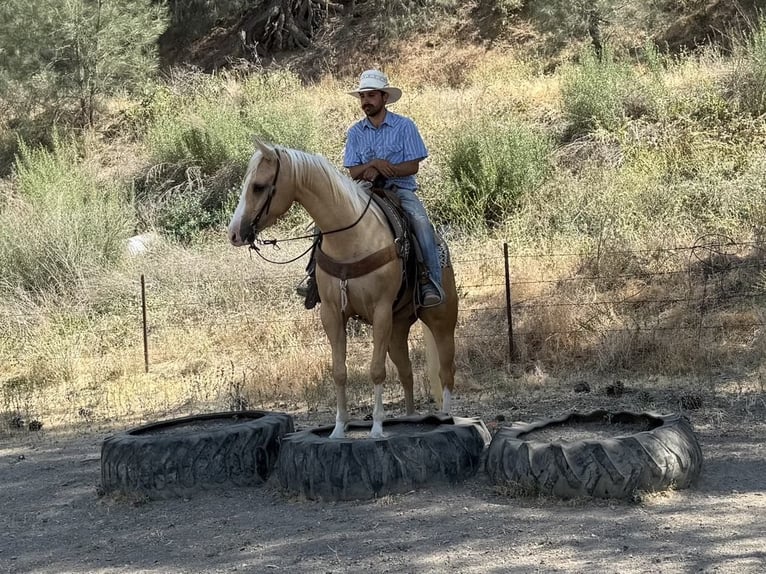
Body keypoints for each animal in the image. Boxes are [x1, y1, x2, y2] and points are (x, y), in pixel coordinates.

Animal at [228, 140, 458, 439]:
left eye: (258, 186)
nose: (234, 233)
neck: (352, 238)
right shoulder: (332, 313)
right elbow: (339, 371)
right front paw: (338, 429)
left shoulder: (381, 311)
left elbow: (376, 370)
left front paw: (377, 428)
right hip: (397, 328)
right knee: (406, 372)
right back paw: (411, 417)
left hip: (442, 321)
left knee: (446, 371)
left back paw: (447, 417)